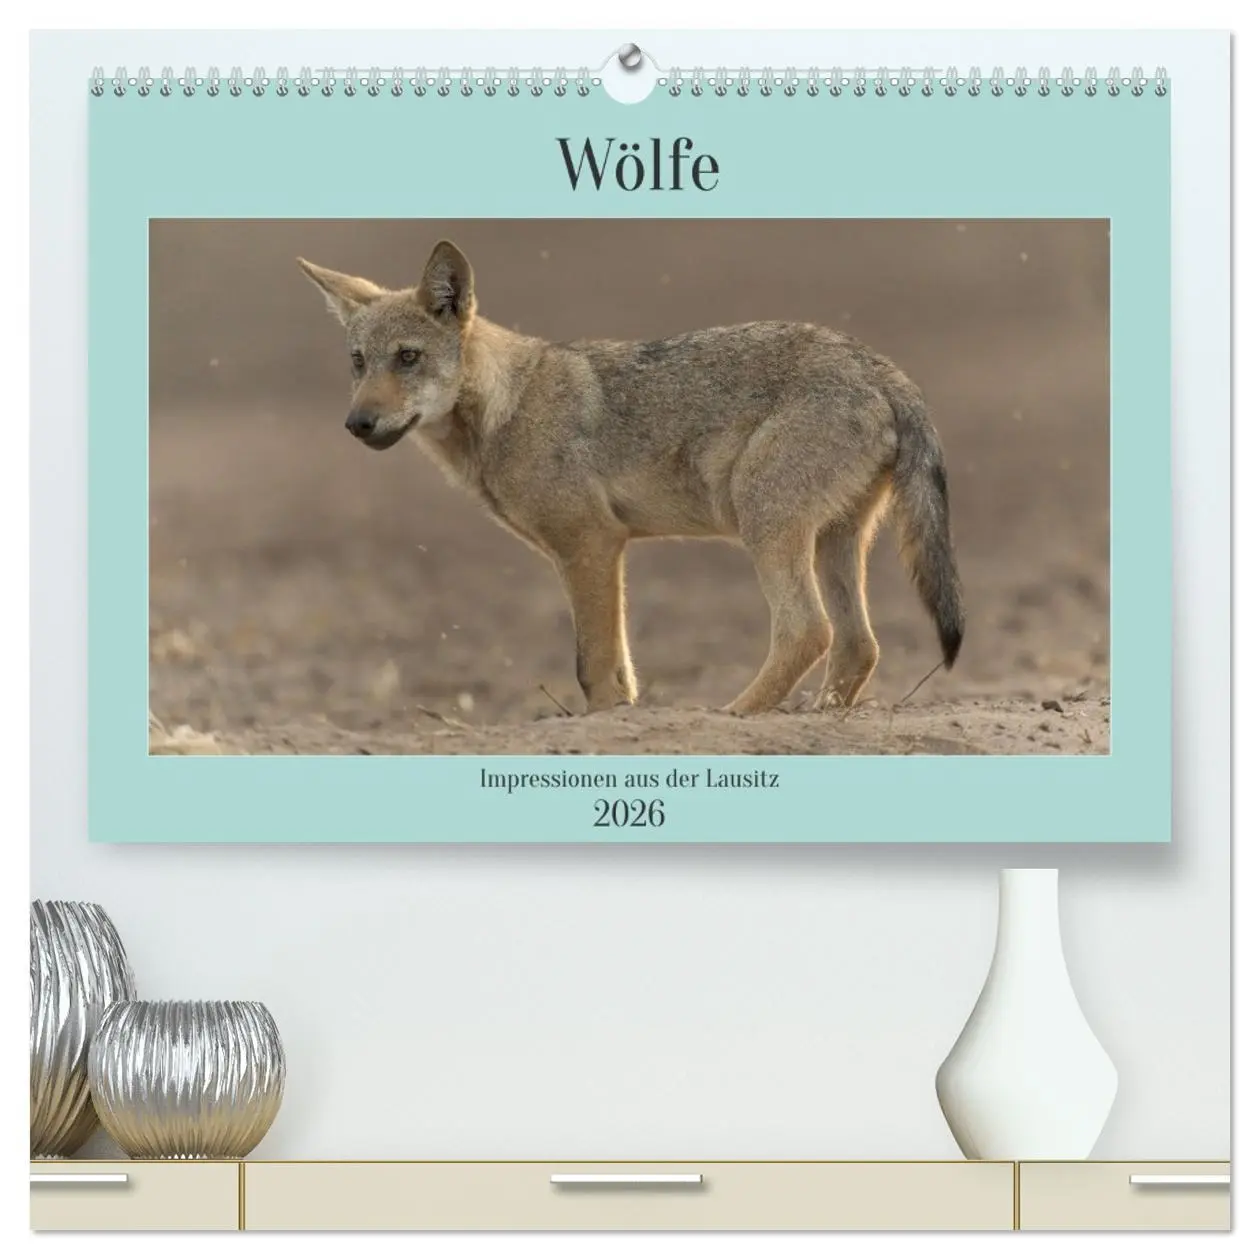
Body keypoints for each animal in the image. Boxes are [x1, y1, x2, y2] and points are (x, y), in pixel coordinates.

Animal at [298, 240, 964, 716]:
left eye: (407, 358)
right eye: (358, 362)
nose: (357, 423)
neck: (506, 407)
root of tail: (881, 367)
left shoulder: (591, 544)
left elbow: (592, 665)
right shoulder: (598, 551)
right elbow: (618, 668)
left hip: (767, 524)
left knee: (809, 631)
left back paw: (733, 715)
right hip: (835, 540)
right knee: (858, 646)